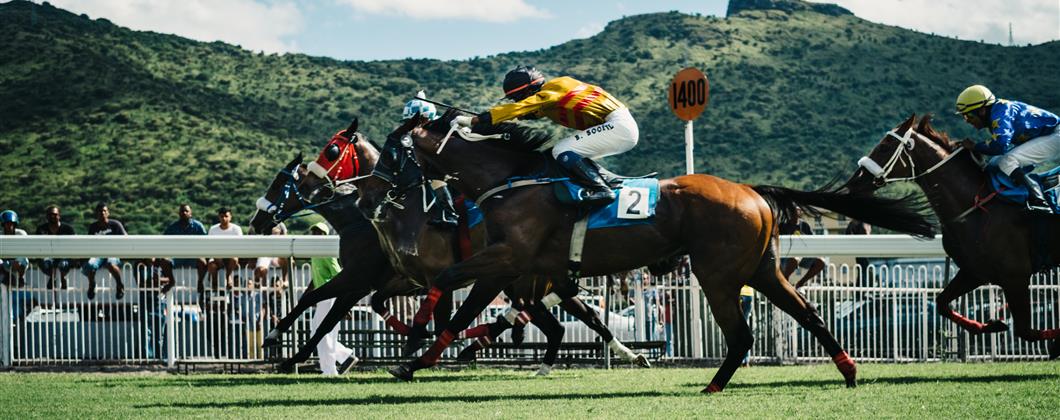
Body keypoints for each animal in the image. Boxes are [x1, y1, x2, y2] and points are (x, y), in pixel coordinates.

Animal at [364, 109, 937, 392]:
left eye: (393, 149)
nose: (376, 191)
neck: (511, 179)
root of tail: (752, 192)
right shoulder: (516, 269)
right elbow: (467, 312)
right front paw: (413, 359)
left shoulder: (506, 261)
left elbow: (449, 293)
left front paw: (412, 341)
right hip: (762, 269)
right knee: (807, 314)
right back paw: (848, 370)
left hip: (717, 273)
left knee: (742, 333)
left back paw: (714, 386)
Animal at [839, 114, 1055, 358]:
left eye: (884, 146)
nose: (855, 180)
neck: (977, 206)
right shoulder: (975, 272)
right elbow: (942, 303)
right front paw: (991, 325)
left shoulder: (1015, 275)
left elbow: (1026, 331)